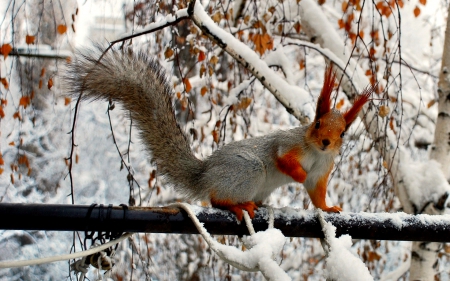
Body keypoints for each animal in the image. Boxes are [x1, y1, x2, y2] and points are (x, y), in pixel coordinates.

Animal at [65, 47, 370, 220]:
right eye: (317, 123)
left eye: (343, 133)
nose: (326, 142)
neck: (315, 152)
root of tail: (205, 174)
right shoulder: (287, 143)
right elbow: (281, 157)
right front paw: (297, 173)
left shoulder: (322, 170)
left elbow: (316, 192)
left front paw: (328, 209)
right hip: (248, 170)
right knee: (216, 199)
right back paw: (236, 206)